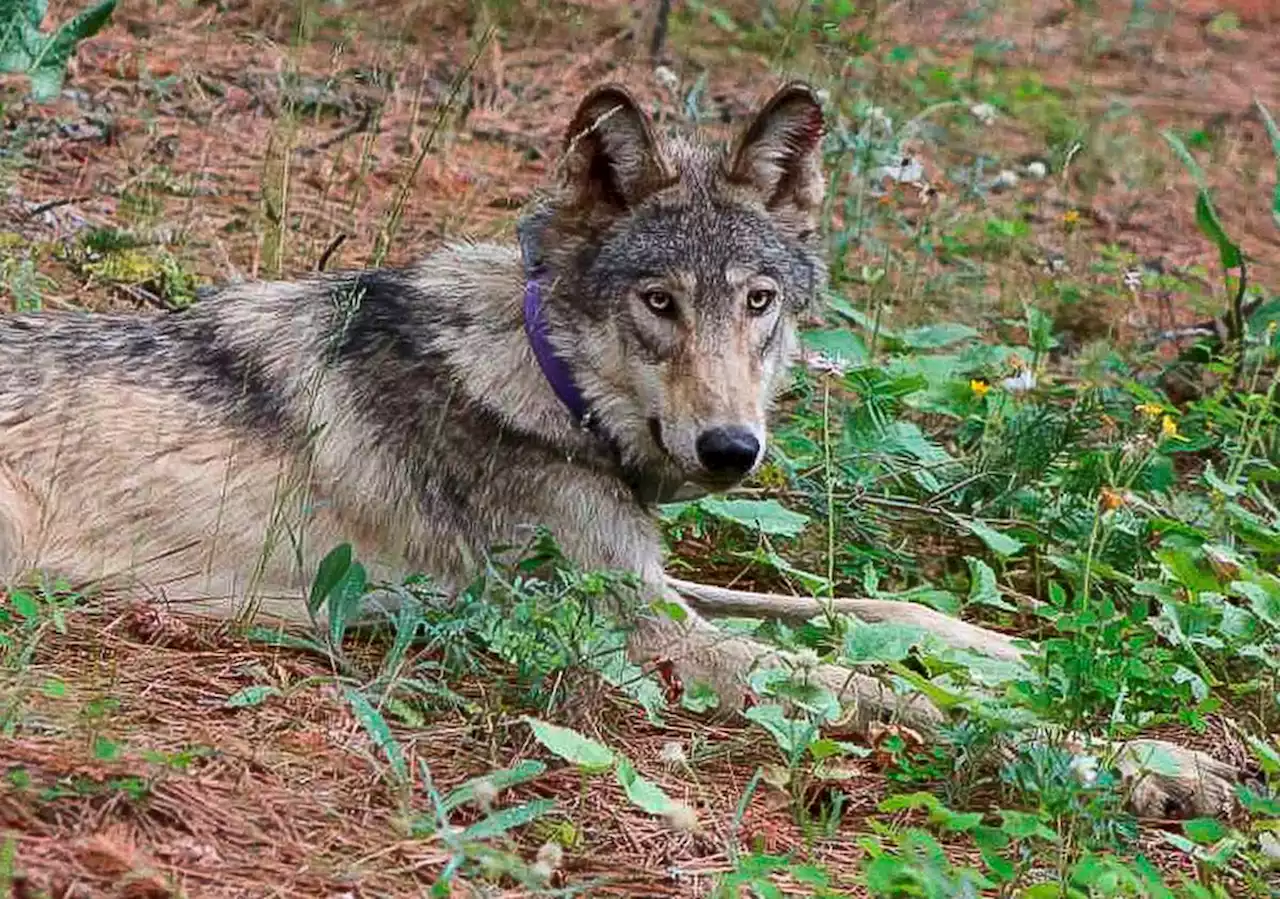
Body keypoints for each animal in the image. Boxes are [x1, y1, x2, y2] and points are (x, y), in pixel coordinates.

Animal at [0, 82, 1239, 819]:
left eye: (755, 302)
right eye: (657, 303)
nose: (731, 448)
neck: (545, 386)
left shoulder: (650, 581)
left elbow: (878, 612)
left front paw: (1021, 652)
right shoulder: (646, 634)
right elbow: (876, 685)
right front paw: (1141, 762)